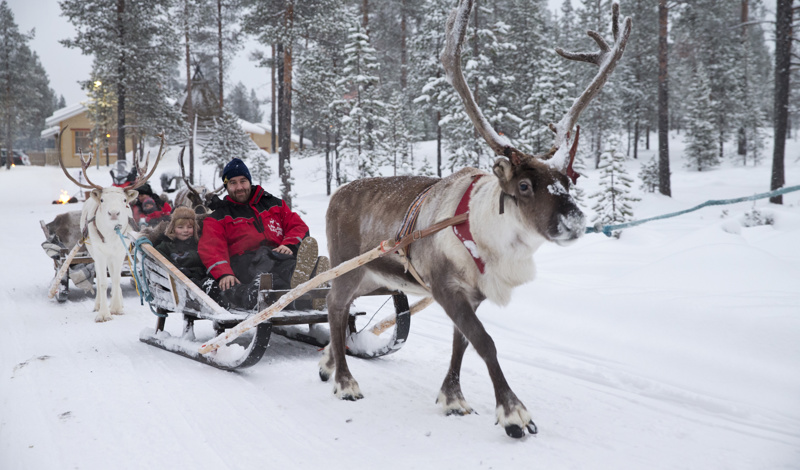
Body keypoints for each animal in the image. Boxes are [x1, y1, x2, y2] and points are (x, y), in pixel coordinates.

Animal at [59, 136, 165, 322]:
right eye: (102, 200)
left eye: (124, 200)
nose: (114, 212)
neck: (110, 235)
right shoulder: (100, 252)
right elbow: (102, 281)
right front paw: (103, 314)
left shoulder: (120, 251)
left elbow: (115, 278)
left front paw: (116, 308)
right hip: (93, 252)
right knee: (99, 275)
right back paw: (97, 304)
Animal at [319, 0, 631, 438]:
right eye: (524, 186)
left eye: (569, 181)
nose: (575, 222)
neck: (490, 238)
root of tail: (337, 194)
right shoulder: (445, 286)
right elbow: (485, 342)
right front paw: (513, 413)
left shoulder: (474, 294)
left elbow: (461, 343)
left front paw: (452, 398)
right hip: (348, 266)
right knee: (333, 304)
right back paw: (346, 381)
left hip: (376, 277)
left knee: (340, 307)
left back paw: (328, 363)